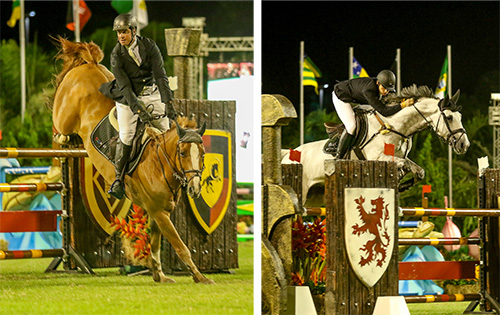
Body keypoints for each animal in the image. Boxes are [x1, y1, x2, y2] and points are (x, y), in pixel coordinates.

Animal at [50, 38, 213, 286]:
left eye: (202, 154)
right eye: (183, 153)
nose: (194, 189)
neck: (160, 164)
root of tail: (88, 64)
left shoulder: (158, 212)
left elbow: (154, 245)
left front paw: (159, 275)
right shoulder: (159, 212)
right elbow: (181, 246)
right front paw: (199, 276)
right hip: (64, 116)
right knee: (59, 127)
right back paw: (63, 139)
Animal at [284, 85, 470, 207]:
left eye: (460, 116)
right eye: (449, 117)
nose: (464, 145)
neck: (396, 126)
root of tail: (287, 154)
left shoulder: (401, 156)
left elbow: (419, 171)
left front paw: (403, 184)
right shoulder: (377, 158)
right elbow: (404, 165)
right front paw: (401, 180)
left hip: (314, 196)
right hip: (302, 192)